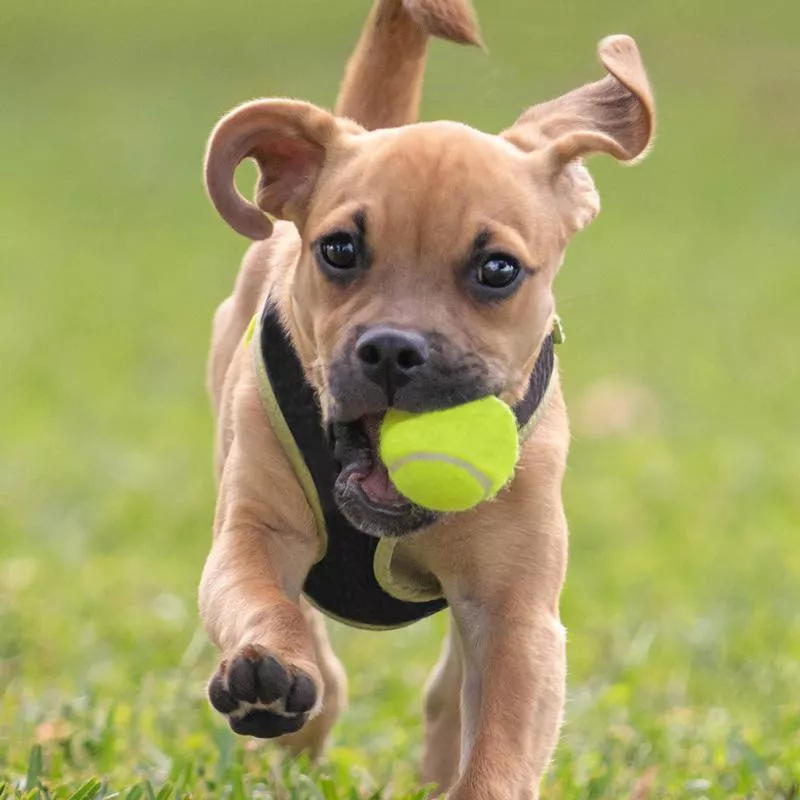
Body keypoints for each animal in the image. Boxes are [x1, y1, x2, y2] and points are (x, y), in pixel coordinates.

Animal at [197, 3, 652, 796]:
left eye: (498, 270)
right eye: (339, 250)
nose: (390, 350)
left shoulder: (515, 616)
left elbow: (496, 750)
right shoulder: (253, 532)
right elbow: (263, 599)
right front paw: (270, 668)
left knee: (446, 696)